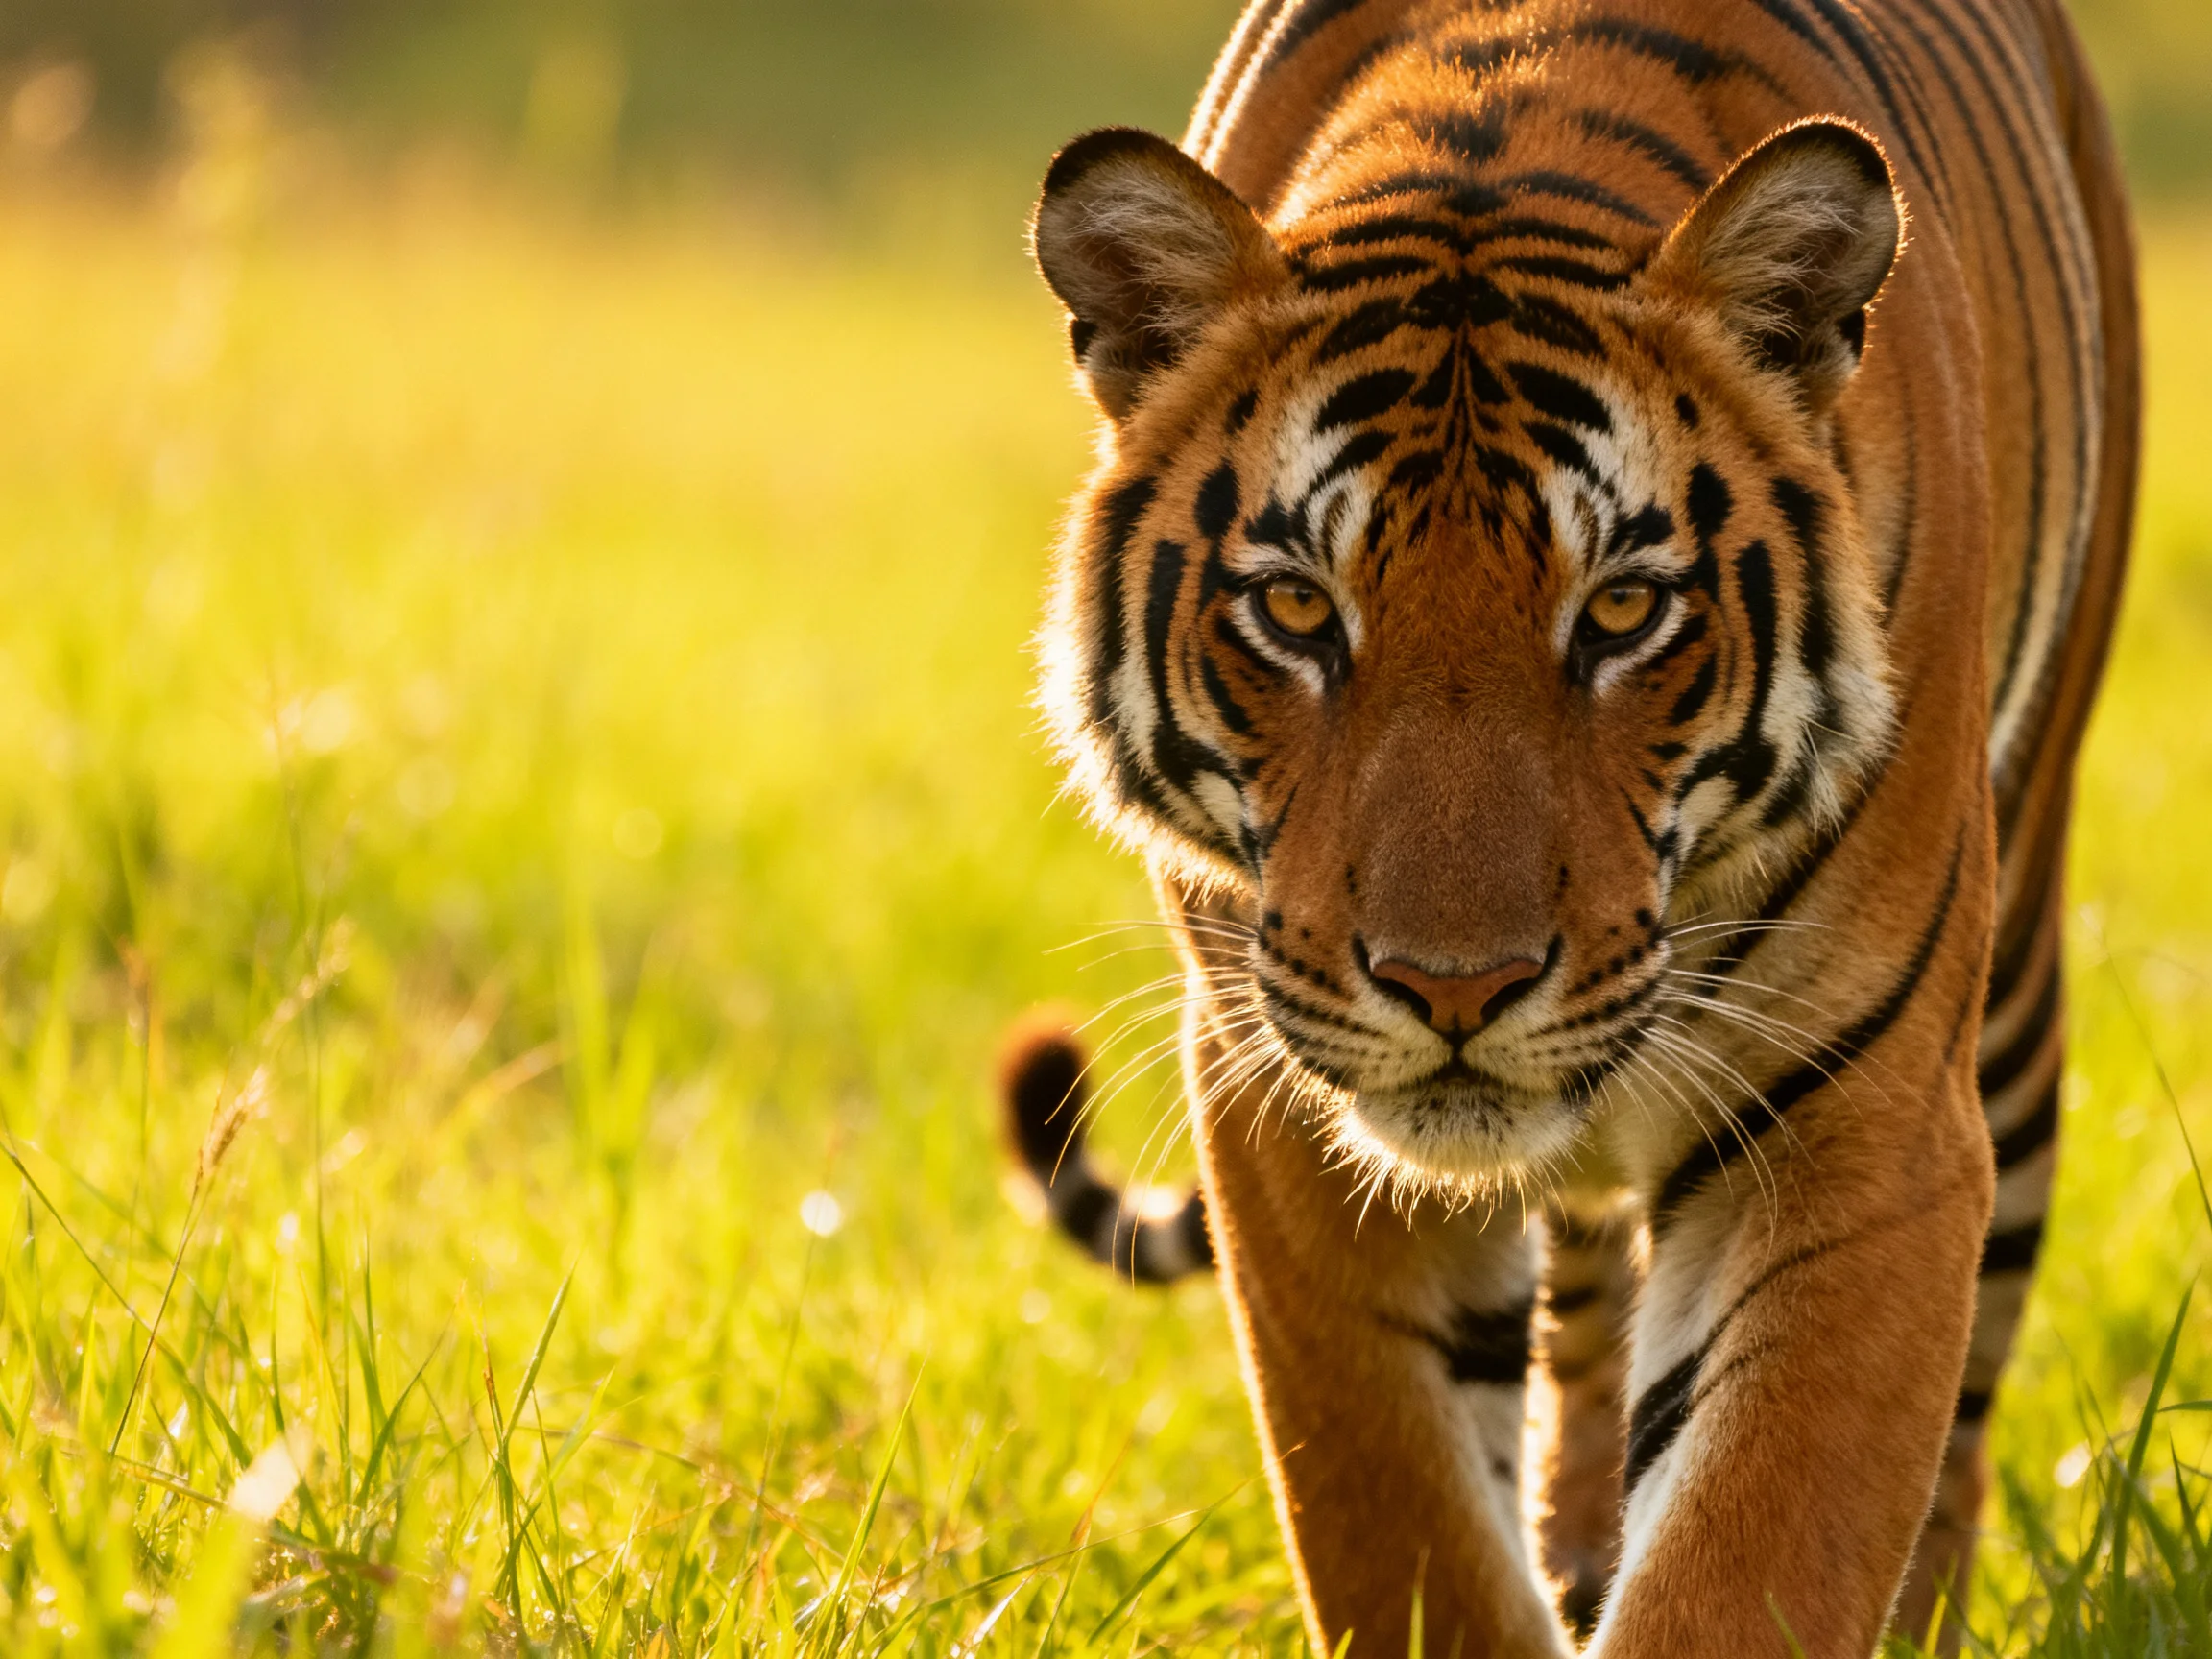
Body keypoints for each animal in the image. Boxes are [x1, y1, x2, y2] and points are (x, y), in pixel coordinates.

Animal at [999, 0, 2137, 1654]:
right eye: (1298, 611)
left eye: (1620, 613)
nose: (1454, 989)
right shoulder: (1284, 1116)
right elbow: (1412, 1542)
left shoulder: (1857, 1123)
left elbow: (1756, 1561)